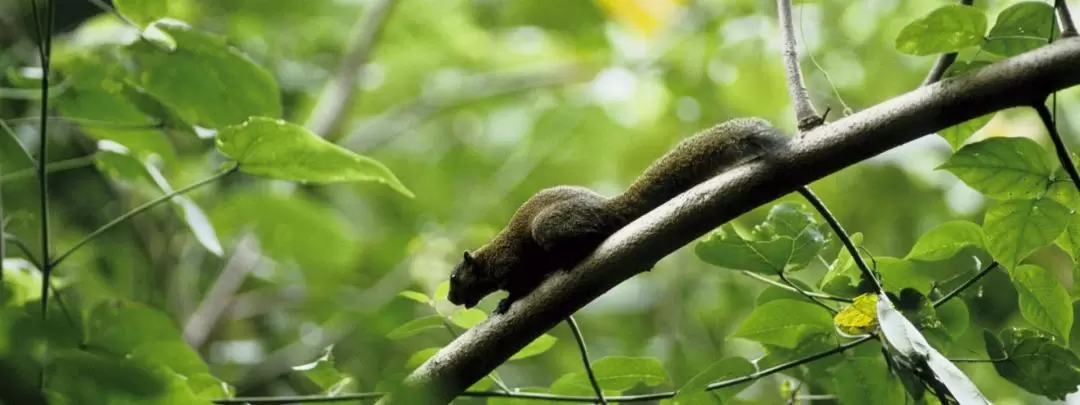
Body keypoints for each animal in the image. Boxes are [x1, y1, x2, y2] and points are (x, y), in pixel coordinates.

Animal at [442, 116, 790, 313]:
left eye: (455, 278)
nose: (449, 298)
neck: (488, 260)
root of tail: (608, 208)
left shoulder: (512, 264)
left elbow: (521, 284)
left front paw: (507, 301)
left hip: (549, 227)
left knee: (593, 233)